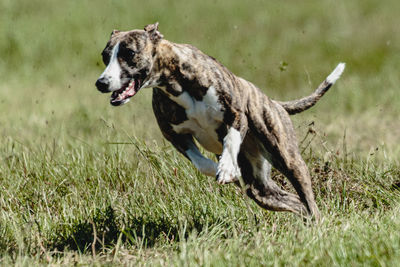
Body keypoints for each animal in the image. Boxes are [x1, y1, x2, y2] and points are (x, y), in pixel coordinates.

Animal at [94, 22, 344, 220]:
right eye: (105, 56)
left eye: (129, 53)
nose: (101, 83)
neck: (175, 82)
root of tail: (275, 103)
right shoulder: (175, 136)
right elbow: (201, 163)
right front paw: (222, 168)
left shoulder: (235, 114)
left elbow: (231, 139)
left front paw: (225, 168)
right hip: (260, 189)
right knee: (295, 203)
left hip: (288, 158)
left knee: (308, 201)